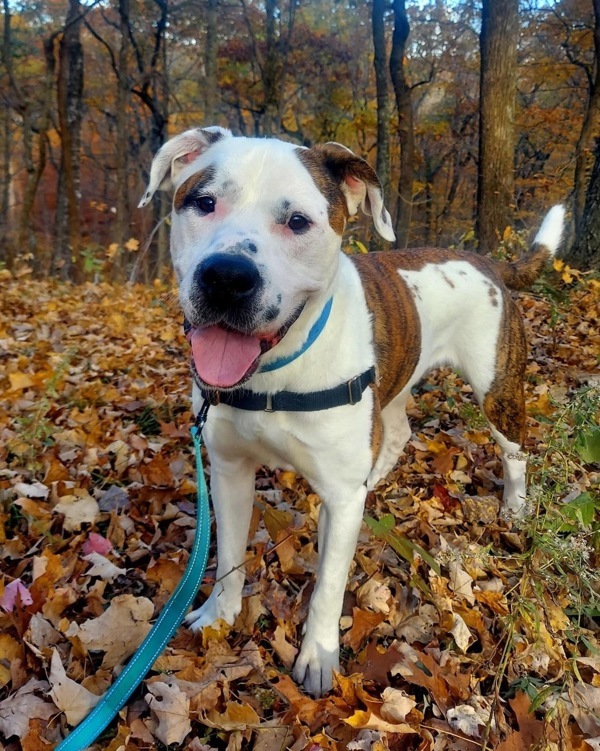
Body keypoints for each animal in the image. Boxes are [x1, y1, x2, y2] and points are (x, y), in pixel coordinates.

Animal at [138, 126, 564, 696]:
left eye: (298, 221)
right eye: (204, 202)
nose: (226, 276)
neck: (276, 371)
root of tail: (488, 263)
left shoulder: (339, 497)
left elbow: (328, 587)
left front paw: (318, 657)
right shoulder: (229, 471)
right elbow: (228, 552)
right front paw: (220, 616)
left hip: (497, 389)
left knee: (515, 451)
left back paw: (515, 510)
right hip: (395, 384)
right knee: (398, 431)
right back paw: (377, 476)